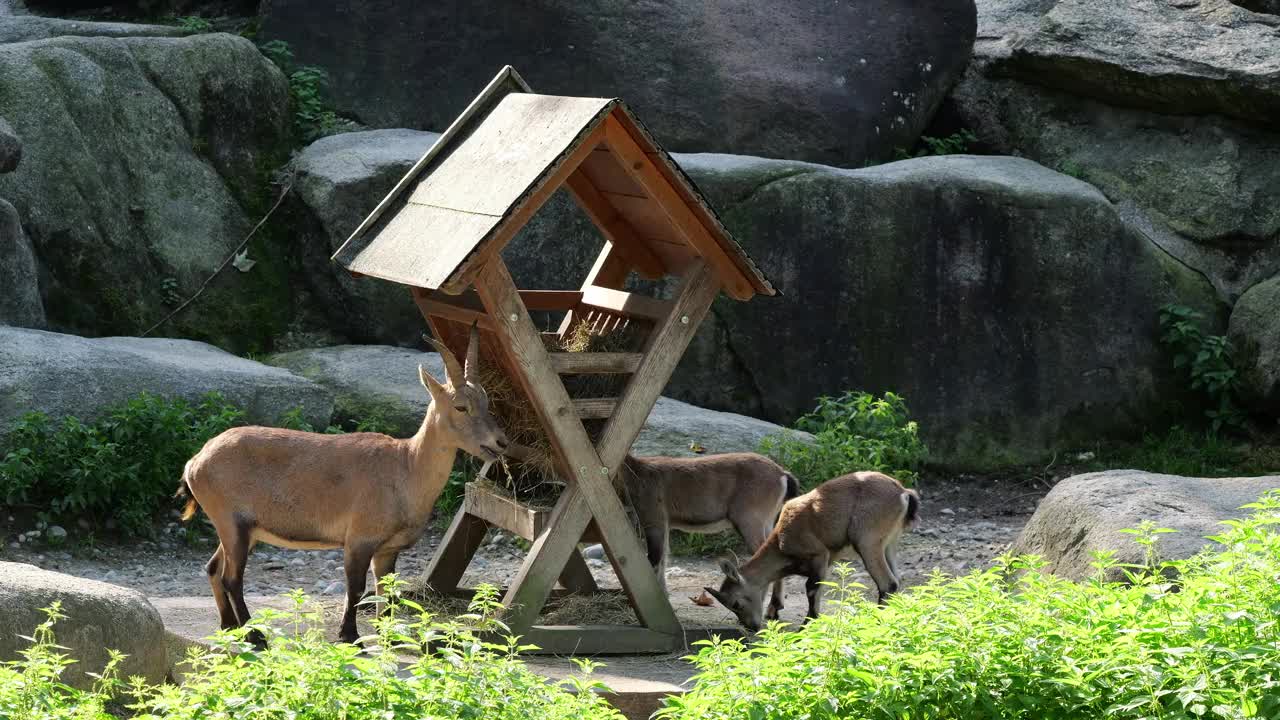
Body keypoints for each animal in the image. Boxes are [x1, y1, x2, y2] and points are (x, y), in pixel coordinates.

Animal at [177, 322, 506, 640]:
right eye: (460, 406)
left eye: (487, 401)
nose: (501, 442)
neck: (406, 467)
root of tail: (196, 461)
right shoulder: (358, 539)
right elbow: (356, 588)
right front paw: (348, 635)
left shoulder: (387, 549)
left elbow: (385, 591)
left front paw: (389, 636)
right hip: (232, 522)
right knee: (231, 578)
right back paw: (254, 635)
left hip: (240, 529)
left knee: (213, 568)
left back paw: (228, 626)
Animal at [622, 450, 793, 620]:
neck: (636, 473)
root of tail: (782, 474)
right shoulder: (665, 523)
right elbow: (664, 558)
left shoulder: (653, 519)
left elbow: (655, 560)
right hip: (767, 522)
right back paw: (773, 608)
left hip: (750, 521)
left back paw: (772, 608)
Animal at [701, 466, 921, 627]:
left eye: (735, 602)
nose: (751, 627)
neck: (781, 542)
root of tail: (904, 494)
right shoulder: (826, 562)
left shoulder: (819, 555)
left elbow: (811, 590)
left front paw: (805, 627)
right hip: (889, 543)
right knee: (897, 580)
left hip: (867, 542)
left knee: (888, 583)